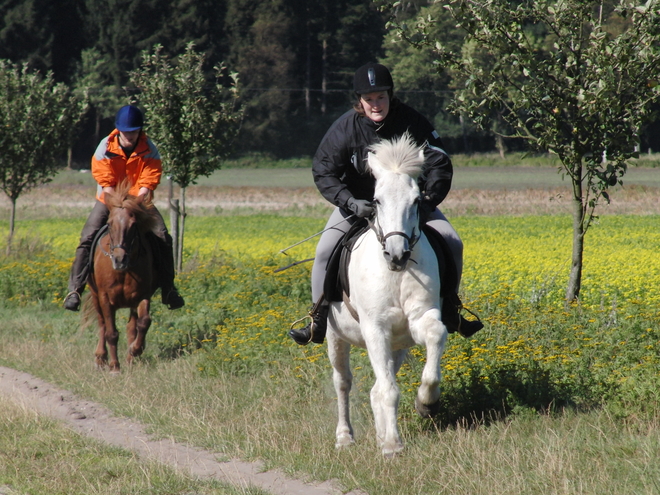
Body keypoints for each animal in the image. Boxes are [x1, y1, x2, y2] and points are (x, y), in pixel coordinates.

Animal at [86, 184, 159, 374]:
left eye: (133, 225)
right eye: (109, 224)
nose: (119, 259)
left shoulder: (143, 295)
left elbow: (144, 322)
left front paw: (135, 350)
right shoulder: (105, 297)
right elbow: (111, 332)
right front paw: (114, 366)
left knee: (132, 326)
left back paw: (131, 358)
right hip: (95, 295)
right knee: (102, 324)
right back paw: (100, 357)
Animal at [328, 133, 446, 458]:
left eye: (417, 200)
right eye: (376, 200)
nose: (397, 254)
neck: (395, 274)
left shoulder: (420, 319)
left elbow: (436, 336)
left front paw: (426, 403)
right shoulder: (375, 329)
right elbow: (388, 390)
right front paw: (393, 445)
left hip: (399, 346)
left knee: (376, 386)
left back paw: (381, 434)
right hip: (334, 337)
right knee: (343, 383)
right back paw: (345, 437)